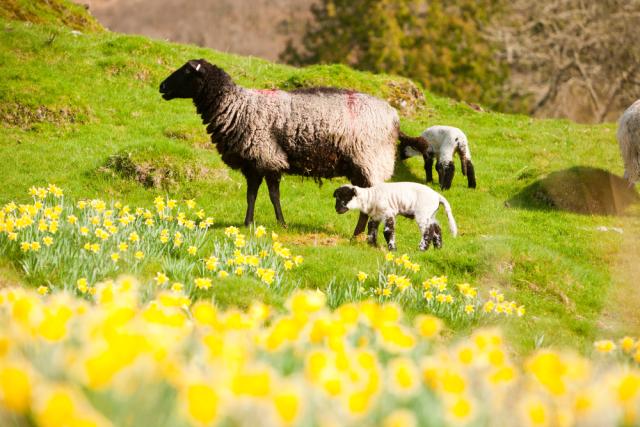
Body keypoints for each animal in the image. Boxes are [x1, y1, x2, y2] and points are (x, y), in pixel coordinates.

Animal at [159, 59, 403, 235]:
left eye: (186, 72)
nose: (161, 86)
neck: (236, 107)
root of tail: (393, 116)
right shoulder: (257, 164)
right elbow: (256, 195)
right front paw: (253, 223)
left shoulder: (266, 157)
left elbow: (268, 195)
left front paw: (275, 224)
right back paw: (357, 235)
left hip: (370, 161)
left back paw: (361, 236)